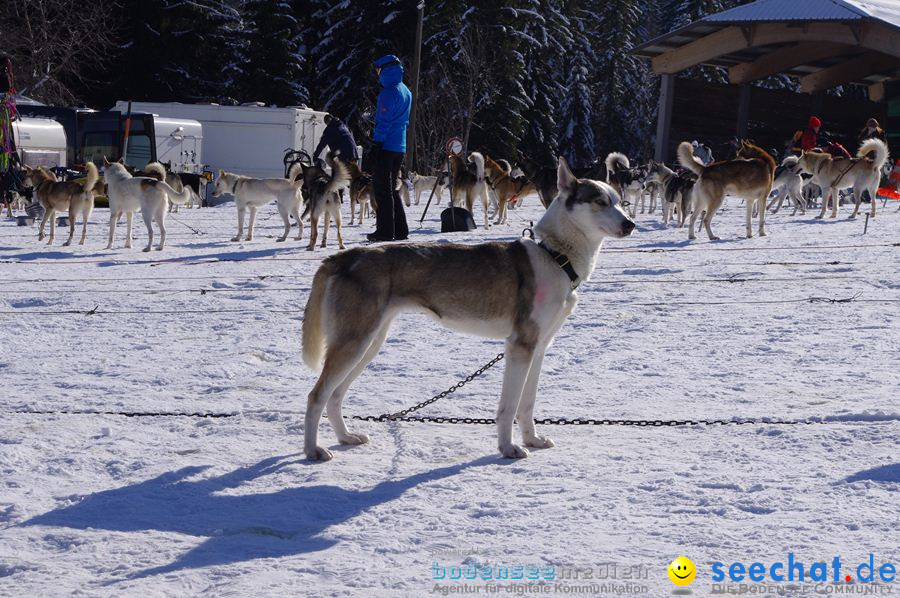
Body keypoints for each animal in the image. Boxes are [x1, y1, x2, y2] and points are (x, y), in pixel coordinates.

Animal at [298, 157, 636, 462]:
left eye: (619, 202)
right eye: (600, 201)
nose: (630, 224)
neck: (555, 256)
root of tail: (341, 257)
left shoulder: (539, 348)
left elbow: (527, 405)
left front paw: (532, 440)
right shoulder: (520, 347)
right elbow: (509, 407)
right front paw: (509, 448)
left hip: (367, 345)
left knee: (334, 396)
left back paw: (345, 437)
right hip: (354, 344)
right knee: (316, 396)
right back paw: (313, 450)